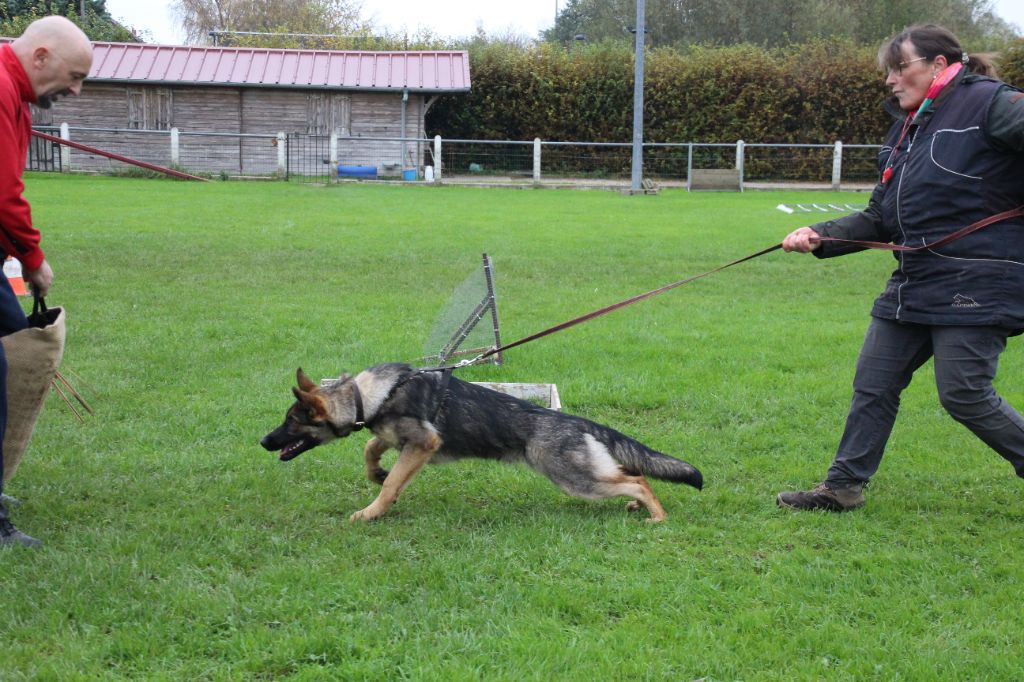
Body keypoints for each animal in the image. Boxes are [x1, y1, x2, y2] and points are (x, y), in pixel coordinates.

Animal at [260, 360, 700, 520]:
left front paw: (371, 513)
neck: (365, 396)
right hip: (584, 475)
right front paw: (376, 473)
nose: (264, 442)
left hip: (574, 479)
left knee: (639, 480)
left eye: (291, 422)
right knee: (630, 475)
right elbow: (372, 453)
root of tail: (578, 422)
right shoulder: (397, 438)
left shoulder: (423, 445)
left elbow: (389, 486)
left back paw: (656, 516)